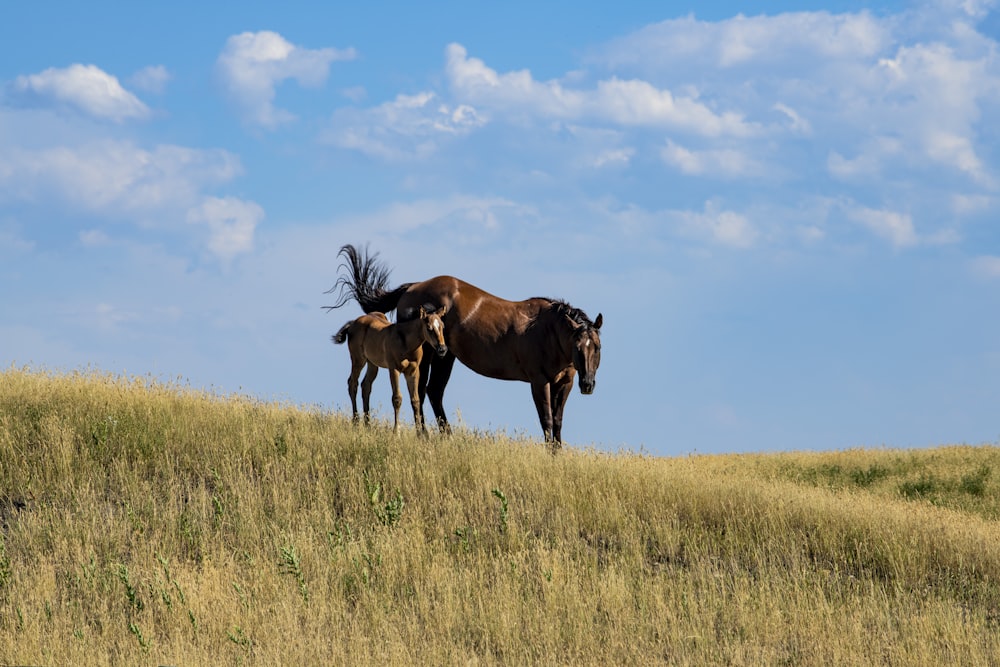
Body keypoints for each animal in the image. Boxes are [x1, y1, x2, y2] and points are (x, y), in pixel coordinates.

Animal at [334, 306, 448, 434]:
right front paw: (396, 431)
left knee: (366, 386)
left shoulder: (413, 371)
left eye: (442, 326)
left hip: (372, 363)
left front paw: (419, 433)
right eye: (429, 328)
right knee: (353, 383)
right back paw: (356, 422)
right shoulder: (394, 369)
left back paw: (368, 425)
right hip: (358, 359)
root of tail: (353, 322)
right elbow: (397, 398)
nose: (442, 349)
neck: (407, 343)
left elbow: (415, 400)